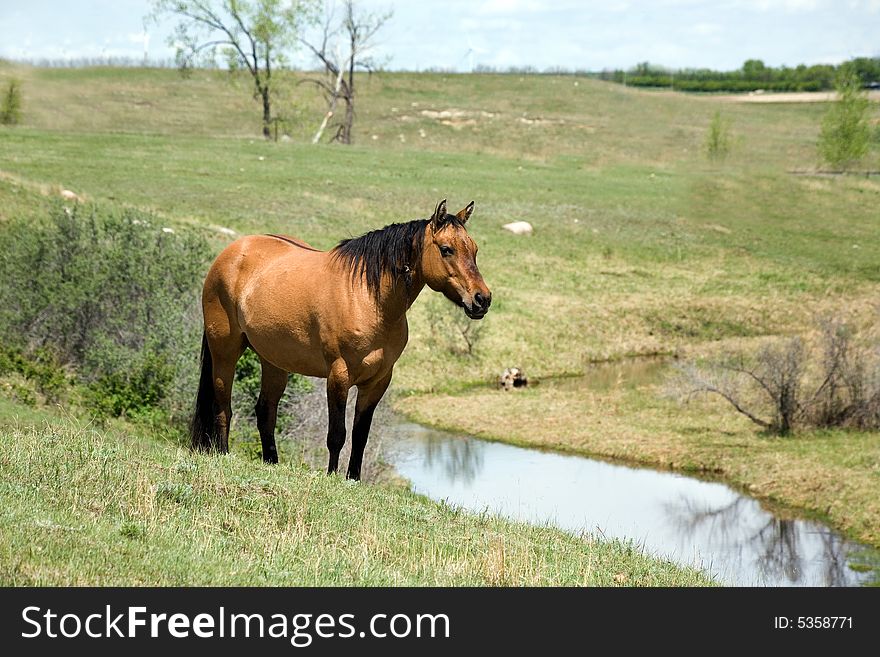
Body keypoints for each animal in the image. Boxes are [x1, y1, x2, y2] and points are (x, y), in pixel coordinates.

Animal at [190, 197, 492, 480]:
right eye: (447, 249)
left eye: (475, 250)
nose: (482, 299)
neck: (368, 299)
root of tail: (231, 252)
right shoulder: (338, 375)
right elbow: (337, 434)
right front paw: (332, 476)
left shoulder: (377, 382)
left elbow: (360, 436)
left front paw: (353, 479)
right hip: (225, 351)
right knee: (223, 406)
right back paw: (223, 453)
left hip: (274, 361)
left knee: (265, 412)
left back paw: (271, 462)